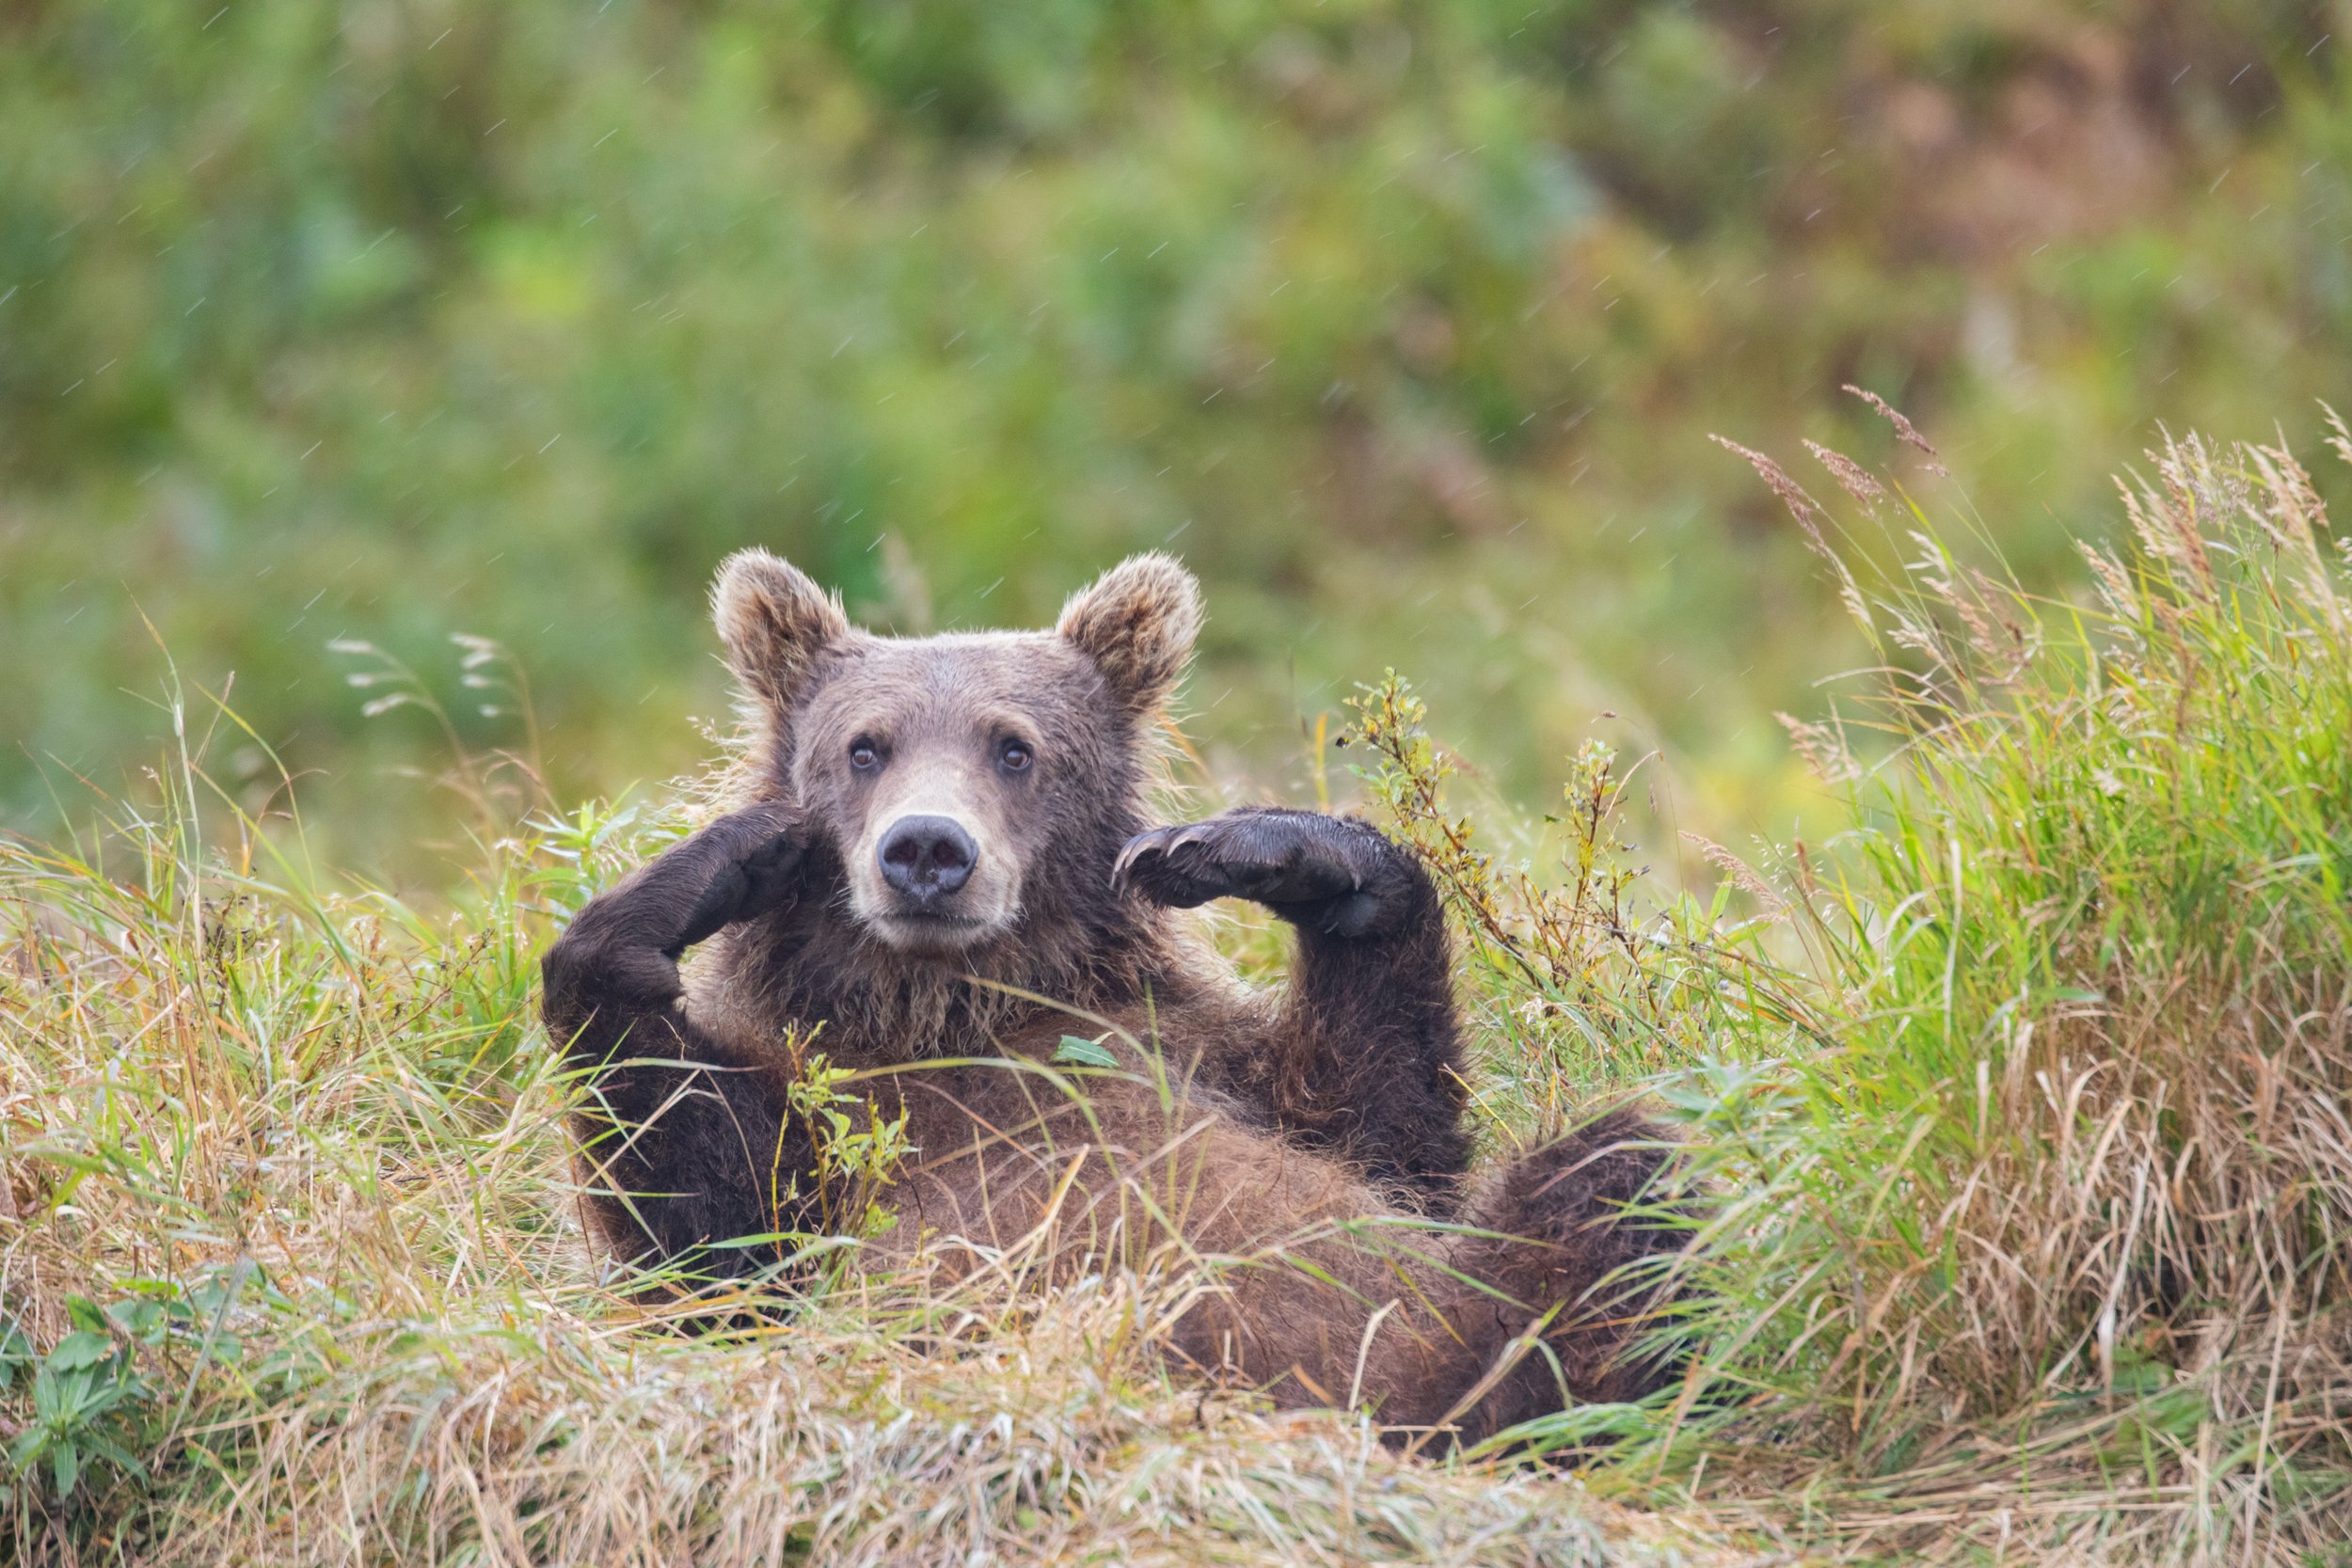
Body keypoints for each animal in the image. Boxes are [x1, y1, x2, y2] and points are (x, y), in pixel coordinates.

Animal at [541, 552, 1684, 1448]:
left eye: (1015, 745)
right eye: (864, 746)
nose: (927, 849)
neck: (953, 1002)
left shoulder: (1187, 1049)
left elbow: (1384, 1126)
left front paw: (1291, 851)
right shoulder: (833, 1123)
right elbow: (712, 1226)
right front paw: (711, 867)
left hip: (1452, 1301)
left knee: (1614, 1174)